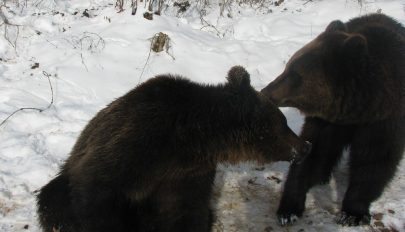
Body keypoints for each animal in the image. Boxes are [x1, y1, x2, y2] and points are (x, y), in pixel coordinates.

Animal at [37, 65, 310, 232]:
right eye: (284, 123)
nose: (304, 146)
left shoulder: (187, 172)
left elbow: (185, 211)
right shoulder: (134, 145)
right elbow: (97, 193)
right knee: (53, 199)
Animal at [260, 13, 402, 227]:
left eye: (295, 75)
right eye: (288, 66)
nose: (265, 92)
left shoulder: (384, 120)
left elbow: (375, 161)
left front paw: (352, 213)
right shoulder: (326, 122)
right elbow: (314, 149)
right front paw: (288, 209)